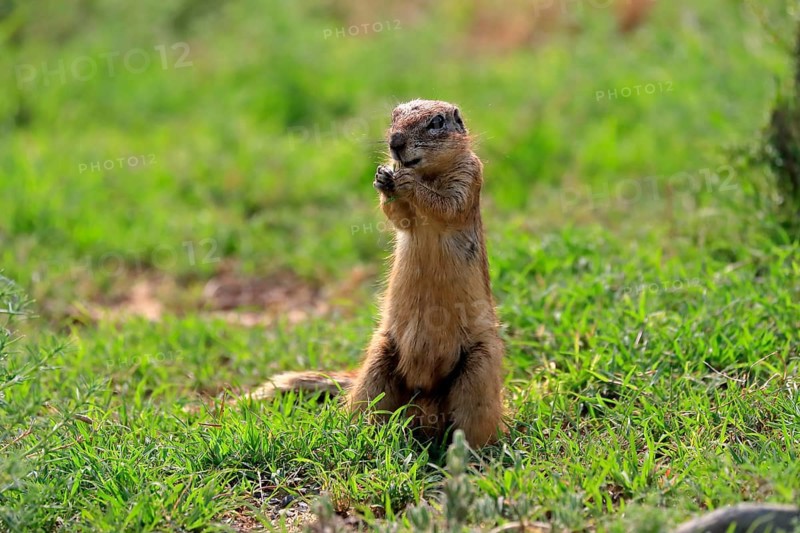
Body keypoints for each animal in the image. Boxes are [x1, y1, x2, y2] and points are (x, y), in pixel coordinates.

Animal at [248, 99, 505, 447]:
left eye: (437, 122)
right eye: (394, 116)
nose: (395, 142)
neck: (429, 172)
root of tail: (425, 401)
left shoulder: (469, 175)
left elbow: (447, 204)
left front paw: (406, 181)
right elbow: (398, 216)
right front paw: (383, 178)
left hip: (479, 370)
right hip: (378, 363)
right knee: (370, 407)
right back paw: (362, 434)